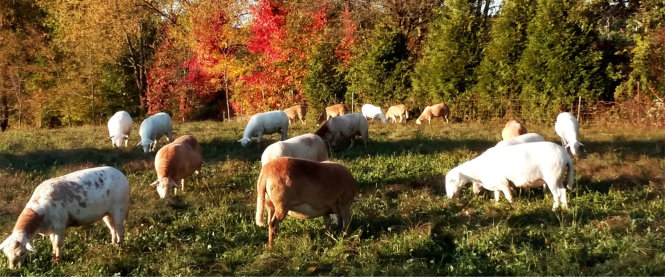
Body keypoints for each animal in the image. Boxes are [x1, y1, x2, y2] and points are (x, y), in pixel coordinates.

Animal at [0, 166, 130, 268]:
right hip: (107, 213)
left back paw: (120, 248)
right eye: (6, 254)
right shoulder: (51, 229)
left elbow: (57, 244)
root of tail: (120, 174)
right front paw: (54, 258)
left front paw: (57, 263)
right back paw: (113, 245)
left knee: (120, 229)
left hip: (120, 207)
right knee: (113, 228)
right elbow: (53, 244)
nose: (13, 269)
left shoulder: (59, 225)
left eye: (22, 253)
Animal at [444, 141, 572, 210]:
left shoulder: (503, 183)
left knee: (557, 193)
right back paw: (565, 207)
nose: (449, 197)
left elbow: (509, 197)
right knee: (563, 191)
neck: (478, 170)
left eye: (451, 181)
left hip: (552, 176)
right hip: (559, 176)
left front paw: (514, 208)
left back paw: (554, 208)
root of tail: (565, 155)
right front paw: (496, 205)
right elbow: (497, 196)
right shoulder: (497, 184)